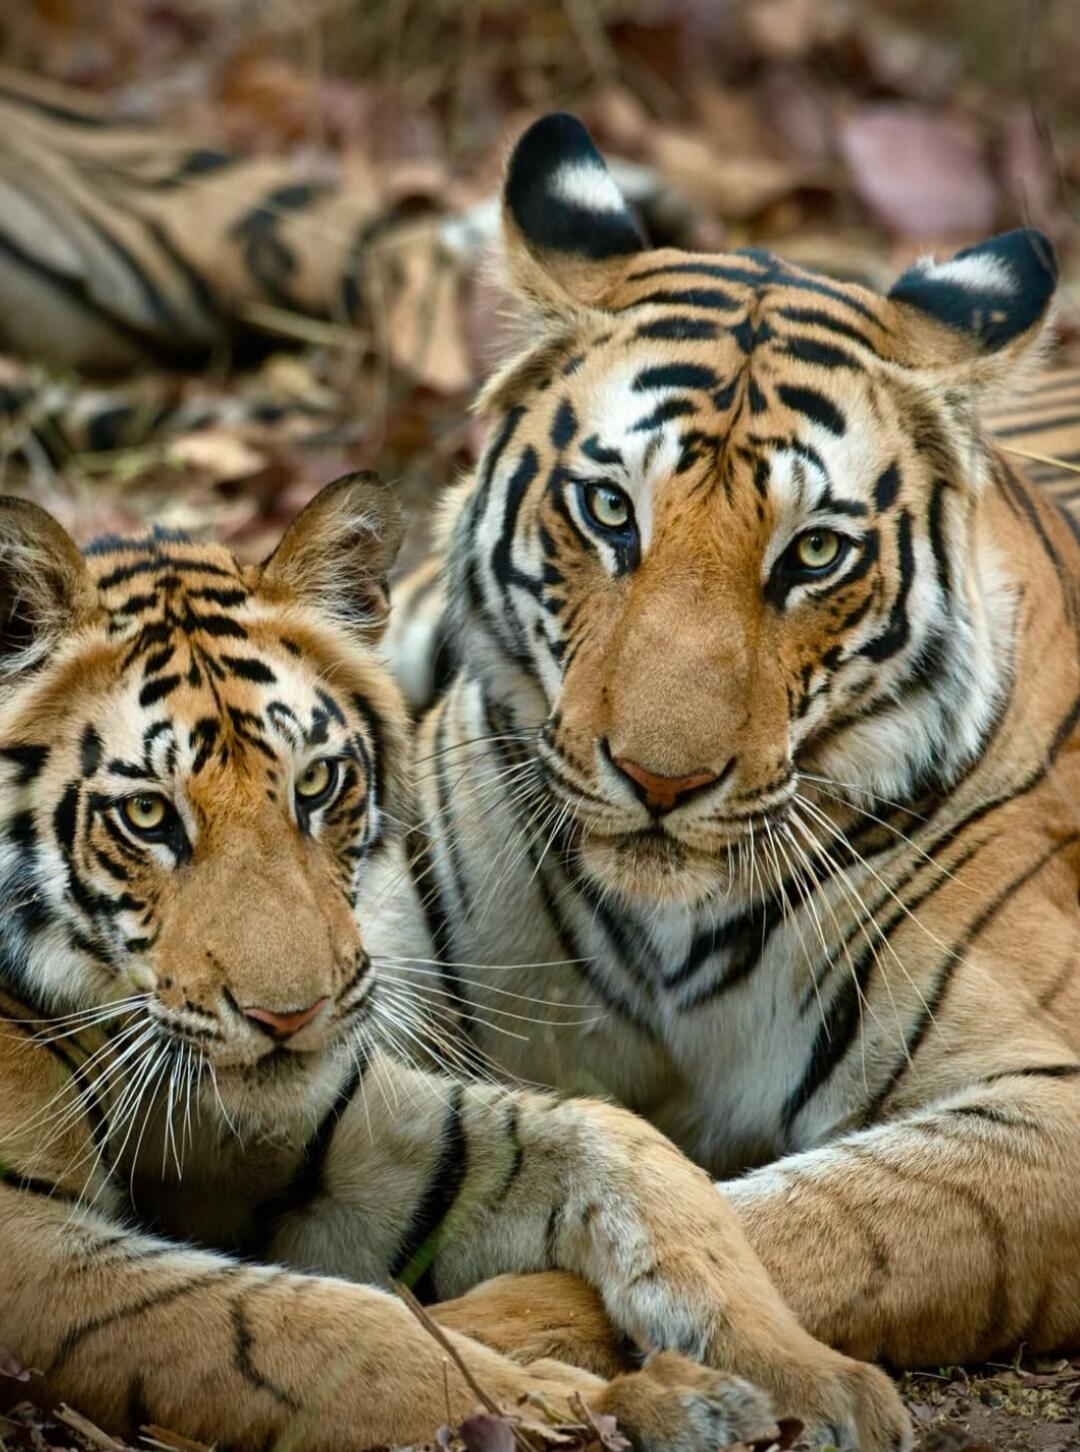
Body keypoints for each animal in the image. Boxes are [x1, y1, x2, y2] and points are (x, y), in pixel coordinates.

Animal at [0, 474, 911, 1452]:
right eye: (146, 815)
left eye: (316, 784)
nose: (291, 1017)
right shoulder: (28, 1237)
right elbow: (301, 1328)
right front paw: (619, 1405)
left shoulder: (332, 1127)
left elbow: (619, 1143)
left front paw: (807, 1378)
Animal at [377, 111, 1080, 1393]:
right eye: (610, 511)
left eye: (814, 553)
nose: (663, 781)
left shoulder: (1050, 1103)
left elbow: (802, 1218)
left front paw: (487, 1330)